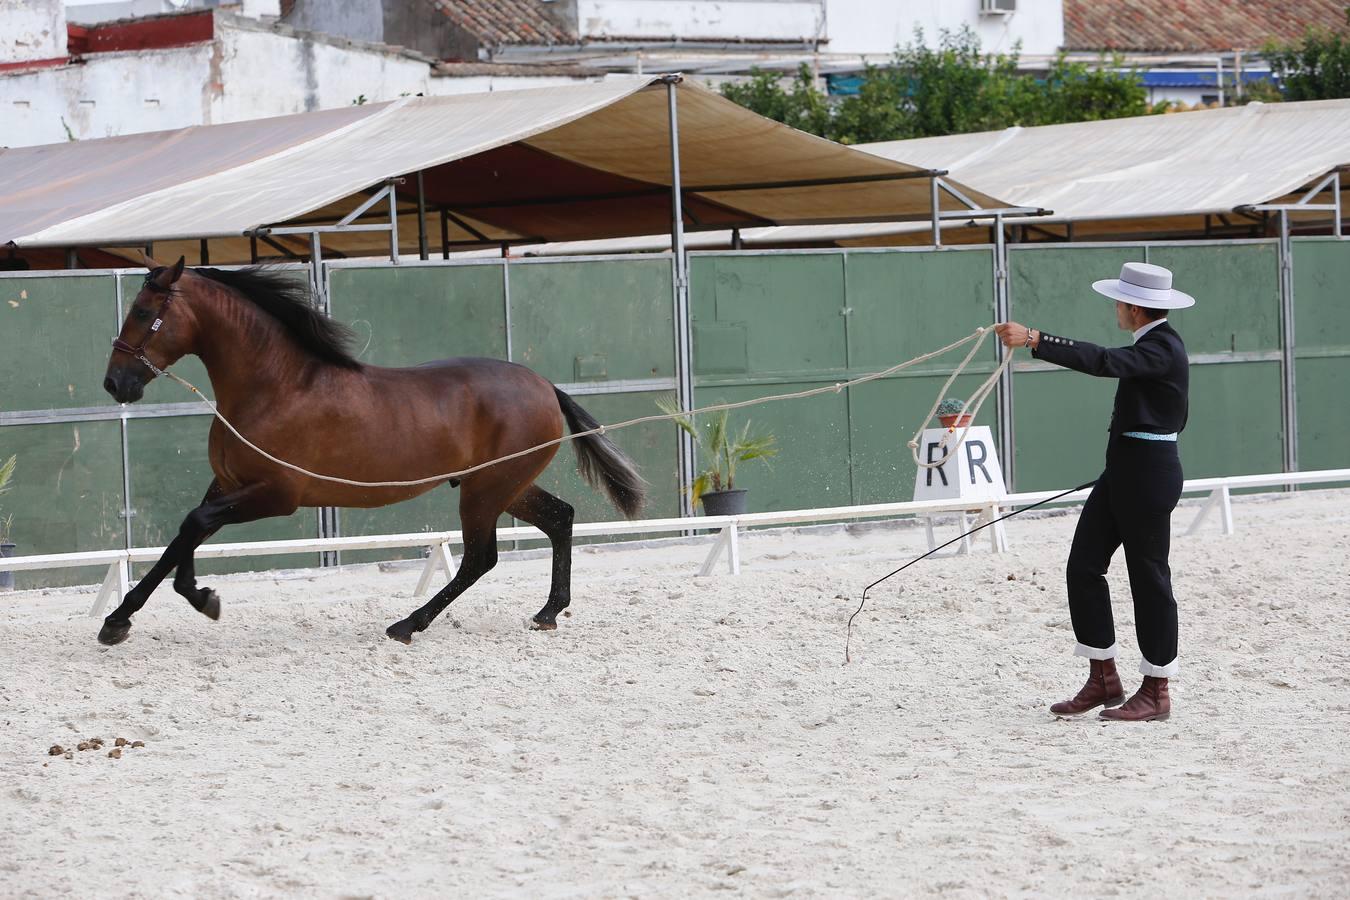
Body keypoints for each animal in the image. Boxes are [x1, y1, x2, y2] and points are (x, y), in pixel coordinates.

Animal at [97, 259, 645, 647]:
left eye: (142, 312)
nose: (115, 383)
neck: (275, 387)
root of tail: (545, 386)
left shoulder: (276, 495)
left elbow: (193, 525)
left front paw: (184, 602)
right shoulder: (229, 485)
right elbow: (185, 535)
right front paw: (137, 614)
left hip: (486, 491)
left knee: (480, 558)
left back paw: (407, 625)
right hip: (505, 487)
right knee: (559, 519)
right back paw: (548, 612)